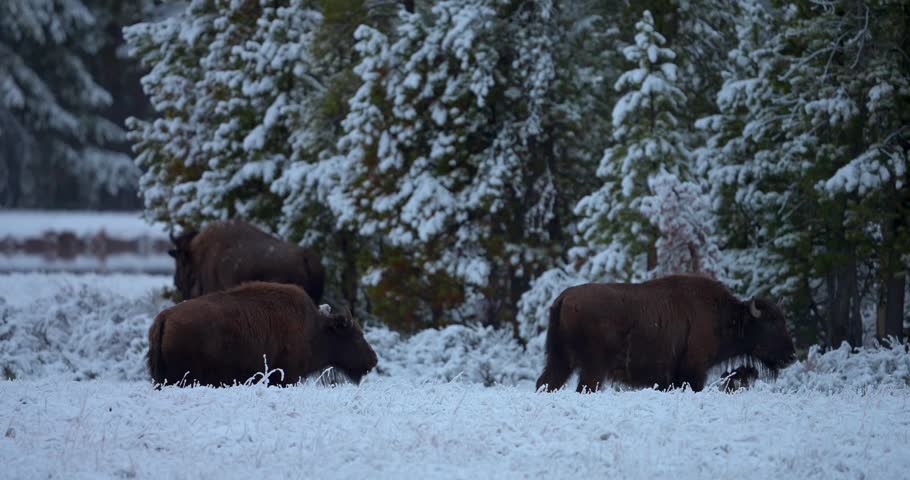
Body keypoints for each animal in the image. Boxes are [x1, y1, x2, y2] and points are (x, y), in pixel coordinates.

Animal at [535, 274, 796, 393]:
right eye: (771, 324)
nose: (791, 356)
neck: (725, 315)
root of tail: (564, 298)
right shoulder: (693, 370)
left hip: (560, 360)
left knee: (546, 382)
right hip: (593, 367)